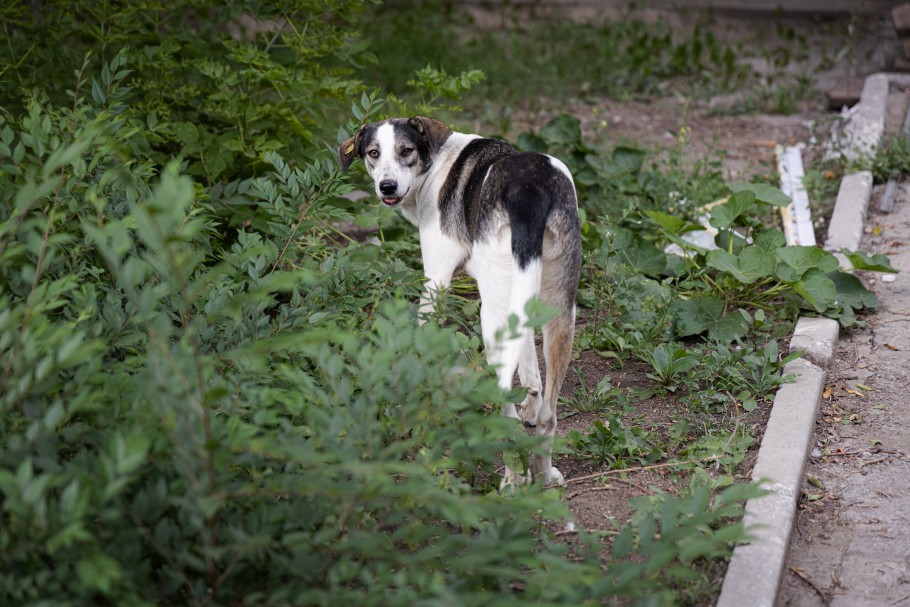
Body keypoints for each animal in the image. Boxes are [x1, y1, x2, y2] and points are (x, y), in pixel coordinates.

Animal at [338, 116, 582, 488]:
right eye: (373, 153)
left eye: (406, 151)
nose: (387, 187)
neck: (436, 163)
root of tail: (530, 192)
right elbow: (530, 369)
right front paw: (531, 402)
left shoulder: (436, 281)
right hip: (558, 311)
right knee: (549, 415)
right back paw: (542, 473)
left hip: (491, 316)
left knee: (504, 406)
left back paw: (513, 476)